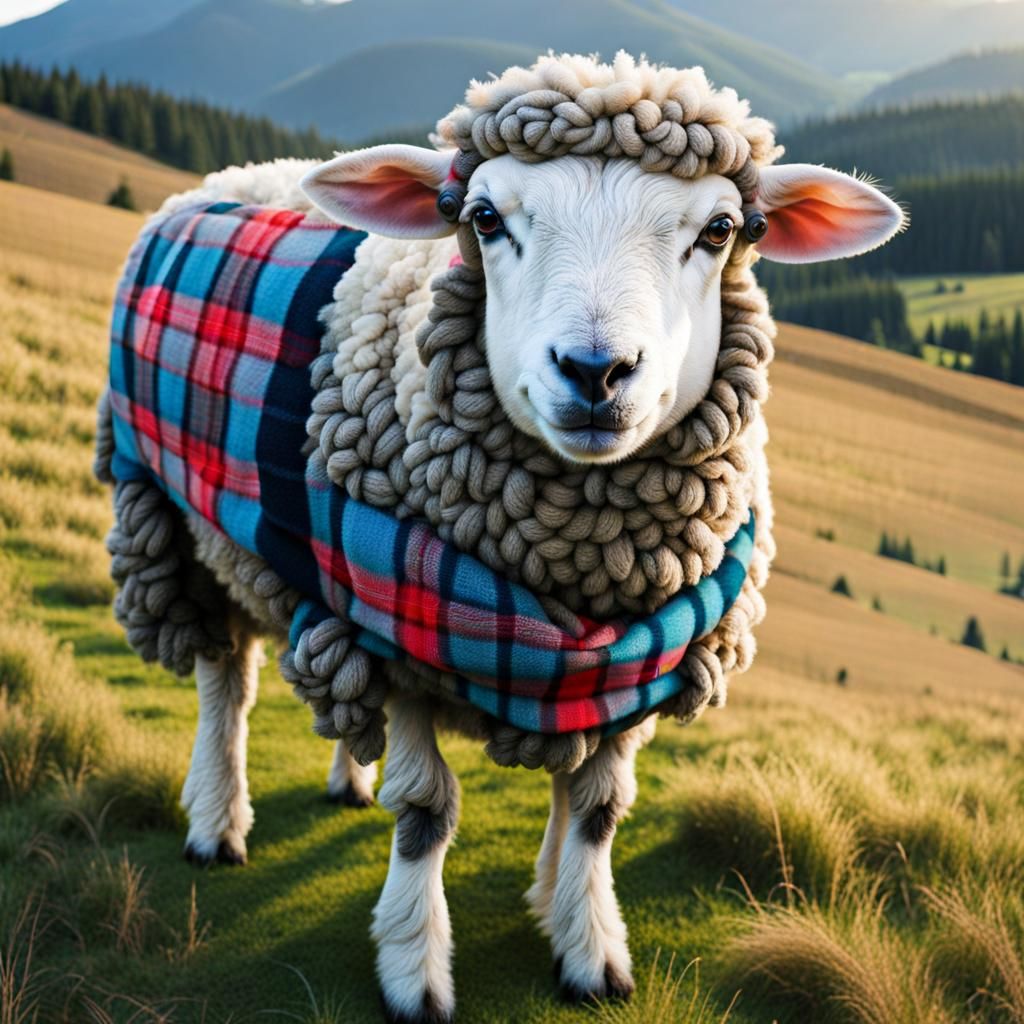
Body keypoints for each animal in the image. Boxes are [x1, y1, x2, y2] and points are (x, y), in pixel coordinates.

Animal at [94, 52, 903, 1023]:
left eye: (720, 230)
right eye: (483, 219)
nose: (596, 371)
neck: (577, 570)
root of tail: (237, 176)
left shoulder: (643, 649)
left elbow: (596, 804)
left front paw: (584, 944)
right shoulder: (403, 642)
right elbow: (425, 811)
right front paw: (415, 971)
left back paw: (347, 780)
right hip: (186, 525)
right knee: (227, 684)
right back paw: (217, 823)